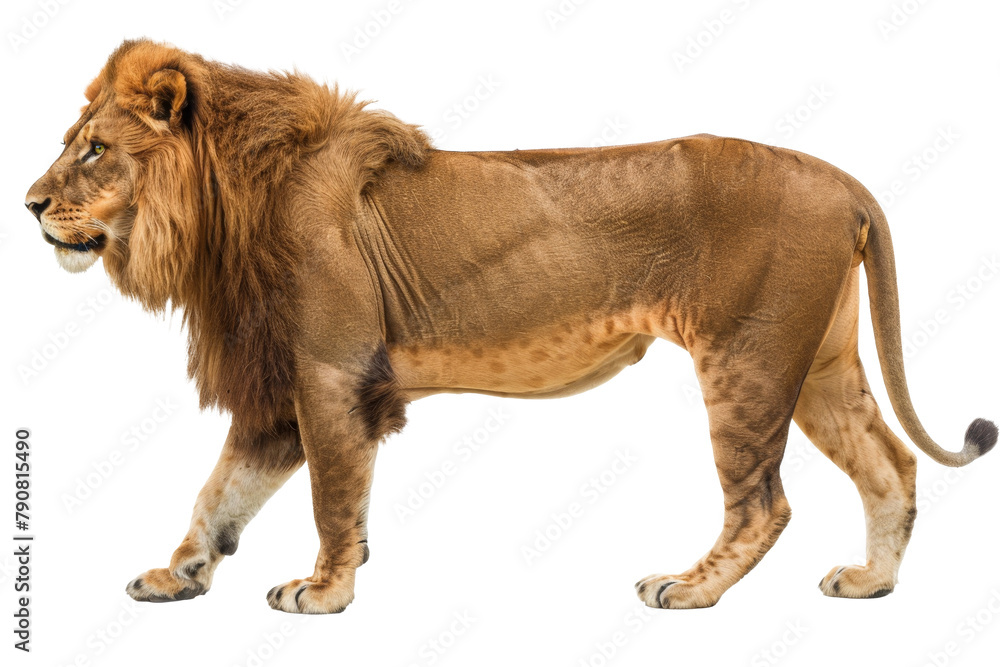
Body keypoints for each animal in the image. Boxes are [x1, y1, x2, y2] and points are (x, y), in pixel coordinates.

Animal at [25, 39, 997, 613]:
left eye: (94, 149)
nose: (29, 203)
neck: (220, 214)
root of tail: (846, 181)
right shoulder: (278, 390)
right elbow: (218, 494)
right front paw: (179, 573)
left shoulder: (331, 371)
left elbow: (332, 495)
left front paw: (325, 591)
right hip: (820, 361)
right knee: (892, 464)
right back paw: (871, 581)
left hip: (747, 361)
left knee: (764, 501)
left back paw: (686, 587)